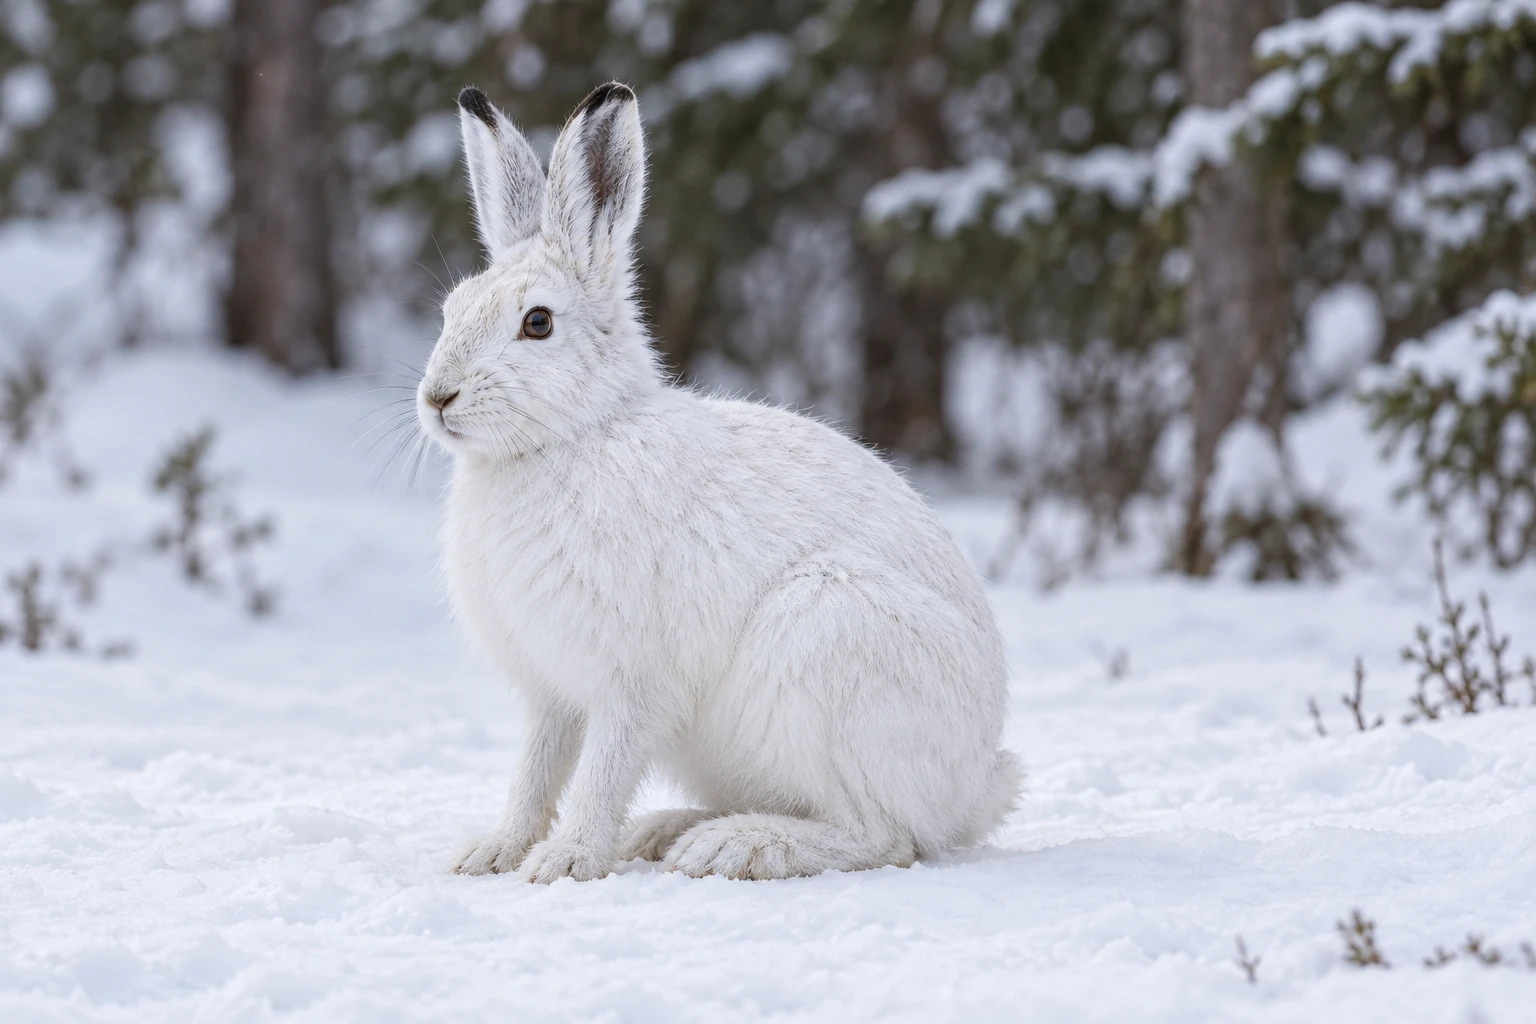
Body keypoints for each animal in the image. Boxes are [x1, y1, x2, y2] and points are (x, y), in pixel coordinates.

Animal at [418, 82, 1021, 883]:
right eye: (451, 310)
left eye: (537, 323)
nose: (437, 397)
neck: (574, 437)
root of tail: (977, 788)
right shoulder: (551, 689)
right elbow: (535, 770)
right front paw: (493, 853)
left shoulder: (632, 680)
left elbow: (601, 770)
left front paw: (567, 862)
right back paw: (668, 830)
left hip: (830, 640)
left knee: (886, 837)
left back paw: (734, 845)